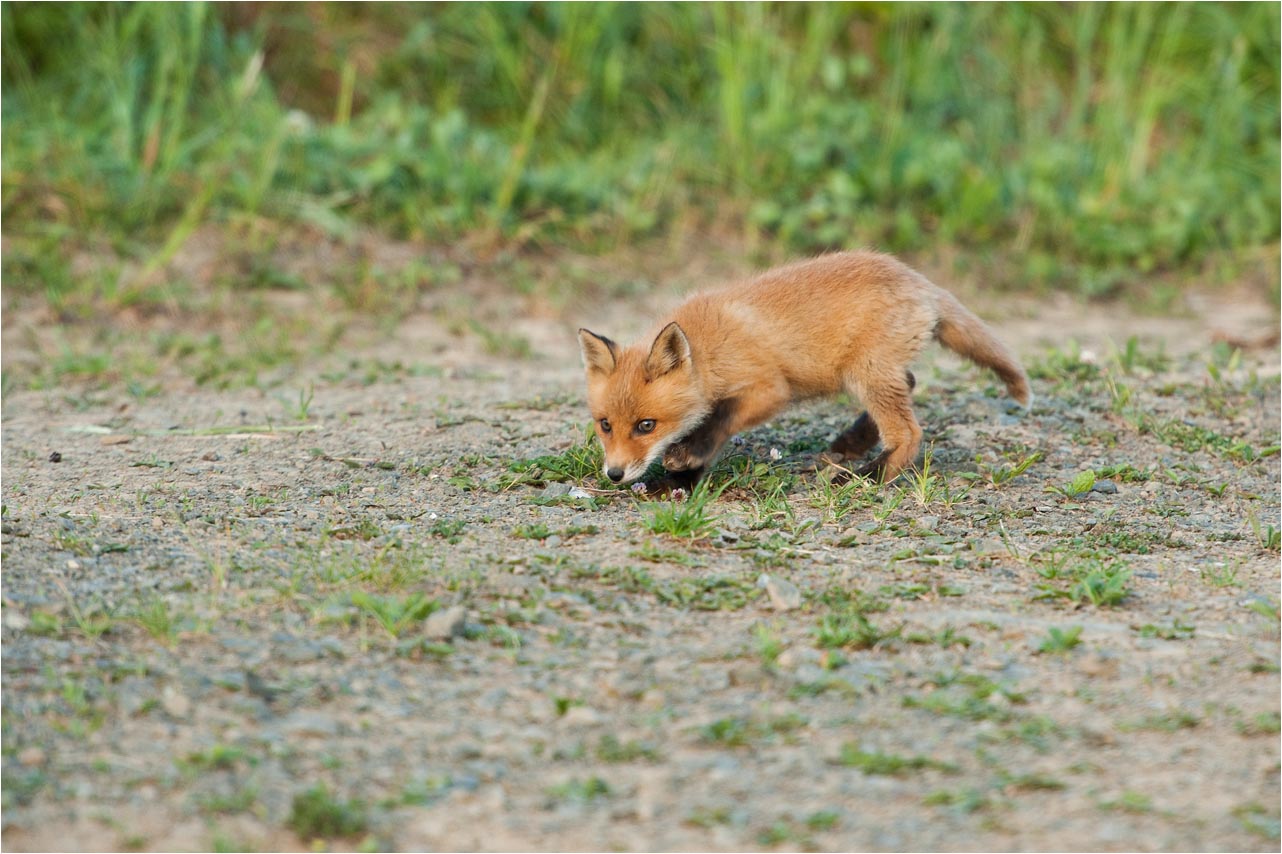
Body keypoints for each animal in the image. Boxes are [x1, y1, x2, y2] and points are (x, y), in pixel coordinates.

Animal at [582, 250, 1030, 489]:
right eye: (605, 425)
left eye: (646, 426)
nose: (614, 474)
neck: (709, 349)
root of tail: (919, 281)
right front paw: (677, 484)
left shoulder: (768, 390)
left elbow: (717, 421)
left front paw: (683, 462)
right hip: (867, 373)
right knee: (911, 382)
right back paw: (849, 444)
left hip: (867, 374)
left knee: (909, 433)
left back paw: (865, 476)